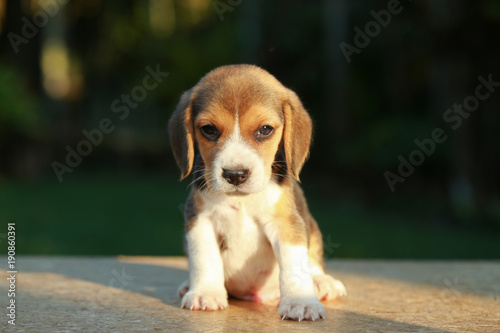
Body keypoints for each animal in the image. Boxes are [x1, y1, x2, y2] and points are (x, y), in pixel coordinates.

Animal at [168, 63, 344, 320]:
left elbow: (294, 265)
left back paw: (322, 283)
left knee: (312, 263)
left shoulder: (286, 223)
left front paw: (300, 301)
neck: (243, 201)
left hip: (311, 227)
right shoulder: (200, 220)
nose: (235, 174)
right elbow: (205, 257)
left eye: (265, 130)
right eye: (209, 129)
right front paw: (205, 292)